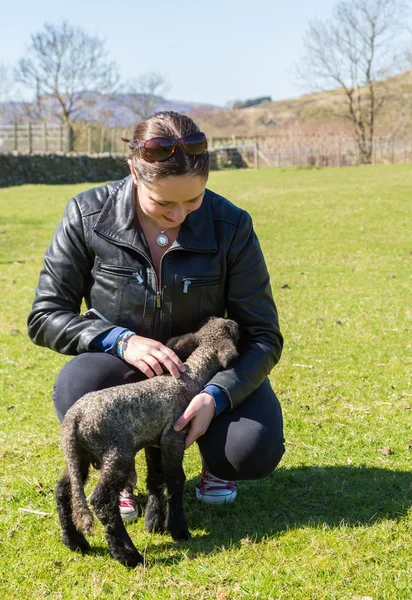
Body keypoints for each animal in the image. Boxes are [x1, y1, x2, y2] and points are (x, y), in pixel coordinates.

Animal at [56, 318, 240, 568]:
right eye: (234, 331)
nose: (237, 323)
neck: (189, 379)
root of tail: (74, 418)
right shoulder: (174, 436)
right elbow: (175, 479)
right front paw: (178, 529)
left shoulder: (154, 441)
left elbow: (156, 477)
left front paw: (155, 522)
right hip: (116, 450)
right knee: (103, 501)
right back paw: (128, 555)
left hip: (79, 454)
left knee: (63, 489)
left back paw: (75, 542)